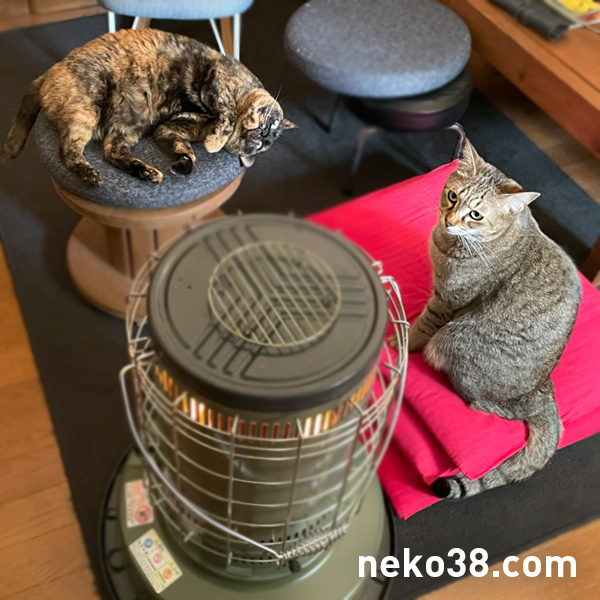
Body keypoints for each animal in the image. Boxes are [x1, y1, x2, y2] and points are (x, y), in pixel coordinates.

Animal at [1, 29, 295, 185]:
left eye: (263, 146)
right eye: (272, 123)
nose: (264, 134)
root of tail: (50, 71)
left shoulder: (168, 129)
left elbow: (188, 151)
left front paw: (184, 164)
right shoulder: (217, 78)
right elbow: (228, 113)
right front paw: (216, 141)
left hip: (130, 126)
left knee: (110, 151)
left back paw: (146, 172)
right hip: (87, 110)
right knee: (68, 151)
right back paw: (91, 176)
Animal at [408, 140, 581, 499]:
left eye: (475, 214)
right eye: (452, 196)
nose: (449, 219)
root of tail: (542, 389)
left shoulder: (447, 300)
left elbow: (420, 327)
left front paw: (400, 343)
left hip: (452, 339)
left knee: (484, 405)